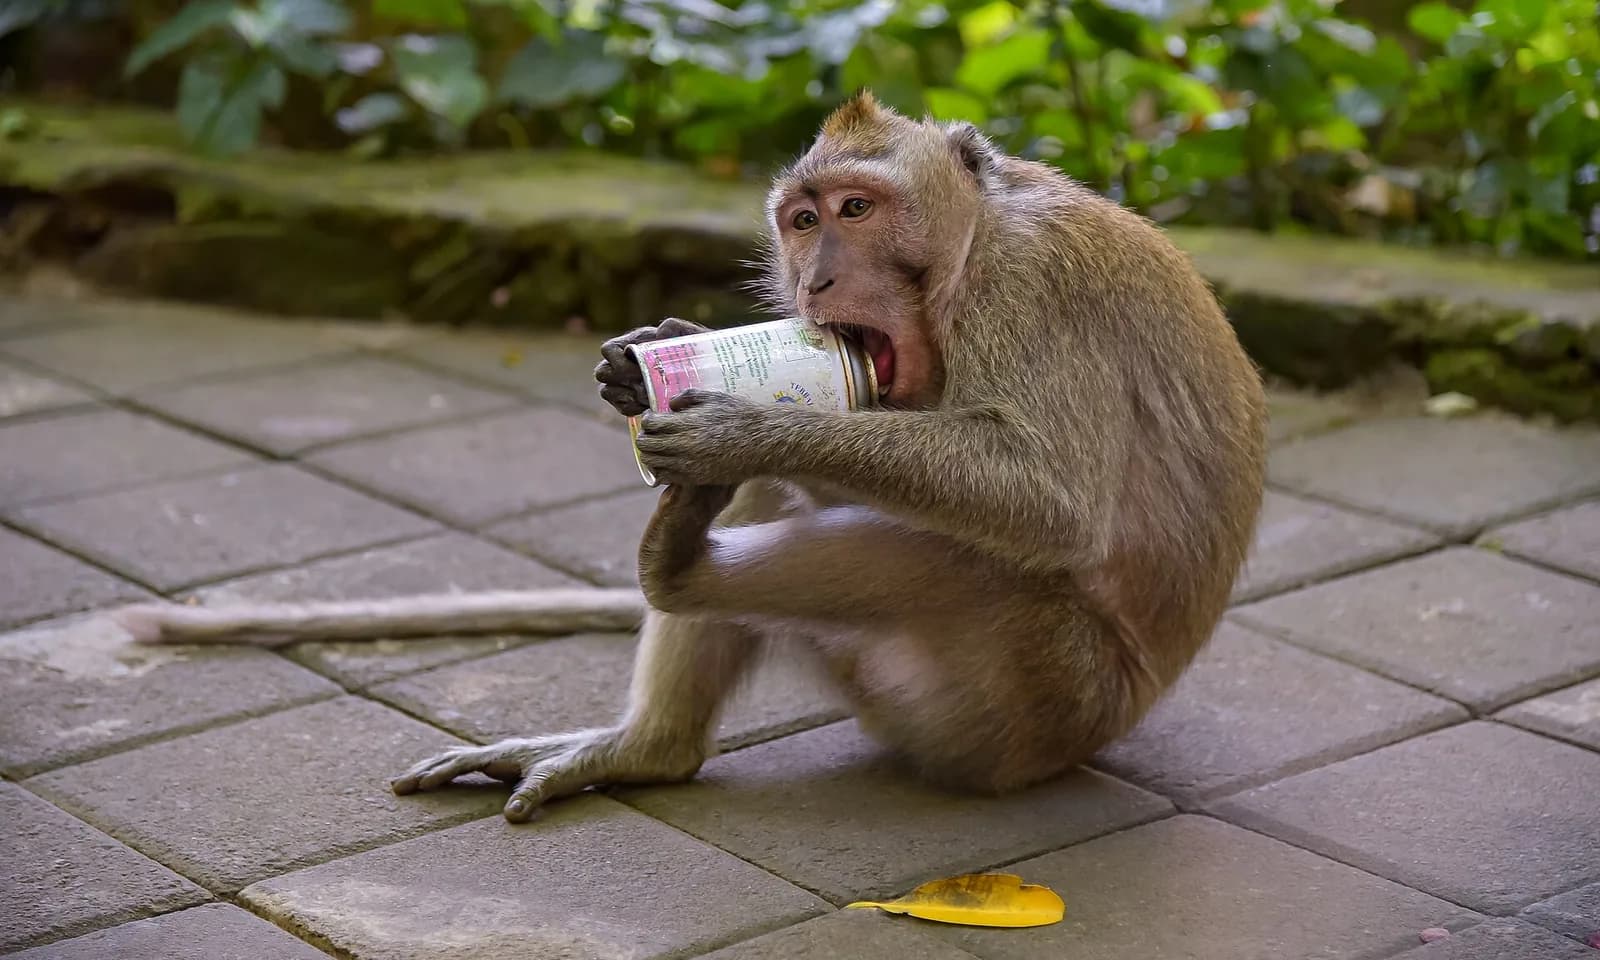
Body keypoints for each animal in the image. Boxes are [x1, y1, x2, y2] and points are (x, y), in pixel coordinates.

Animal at [110, 91, 1267, 824]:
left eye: (857, 209)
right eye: (800, 220)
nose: (814, 280)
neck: (974, 243)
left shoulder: (1032, 286)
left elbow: (1047, 499)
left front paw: (740, 423)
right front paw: (649, 362)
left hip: (1038, 693)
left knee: (952, 557)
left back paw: (675, 561)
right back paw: (649, 737)